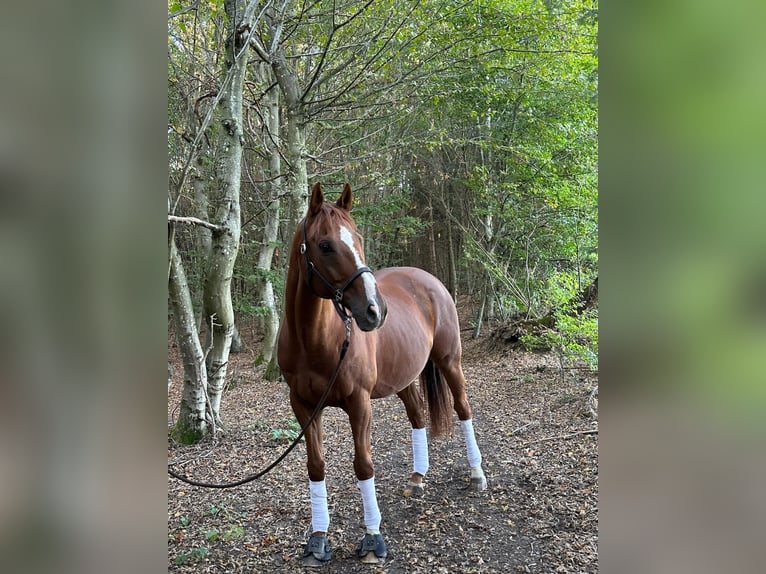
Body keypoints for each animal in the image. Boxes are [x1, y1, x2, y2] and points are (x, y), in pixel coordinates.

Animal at [280, 183, 488, 568]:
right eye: (325, 245)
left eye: (359, 237)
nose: (375, 310)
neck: (316, 340)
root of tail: (427, 278)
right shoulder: (302, 405)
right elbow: (316, 466)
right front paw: (318, 540)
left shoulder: (359, 403)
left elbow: (364, 466)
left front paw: (373, 538)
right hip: (403, 378)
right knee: (418, 415)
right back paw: (418, 478)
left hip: (450, 361)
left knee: (463, 409)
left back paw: (477, 474)